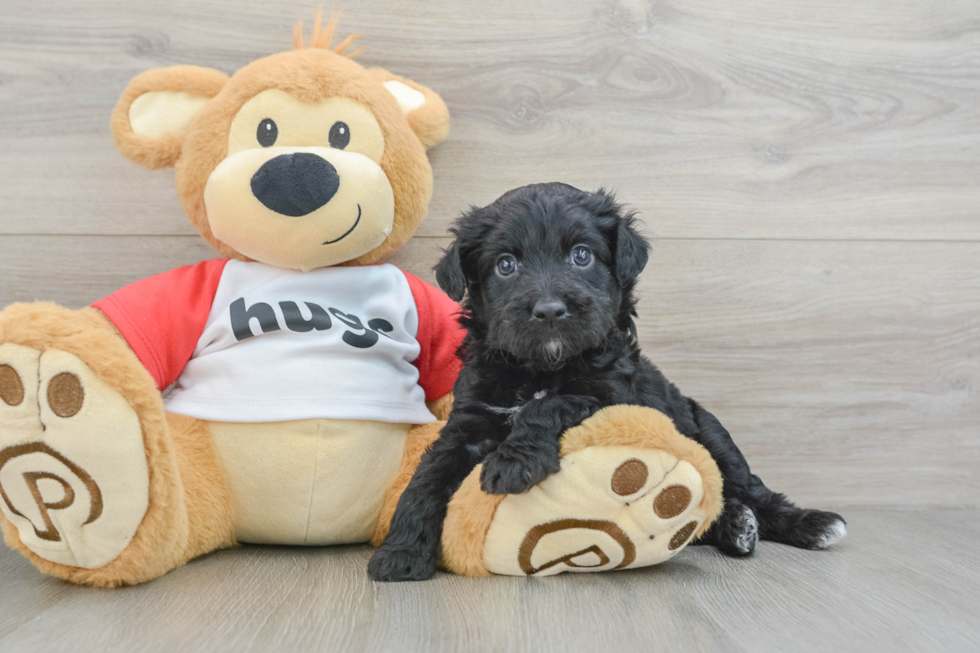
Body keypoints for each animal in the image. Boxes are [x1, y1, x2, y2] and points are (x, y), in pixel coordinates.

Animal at [372, 182, 848, 580]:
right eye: (506, 265)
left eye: (582, 255)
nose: (549, 310)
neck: (542, 367)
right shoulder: (469, 420)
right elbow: (427, 476)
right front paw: (401, 552)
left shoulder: (609, 396)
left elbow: (552, 403)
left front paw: (513, 462)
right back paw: (734, 526)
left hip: (713, 433)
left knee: (752, 490)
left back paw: (805, 524)